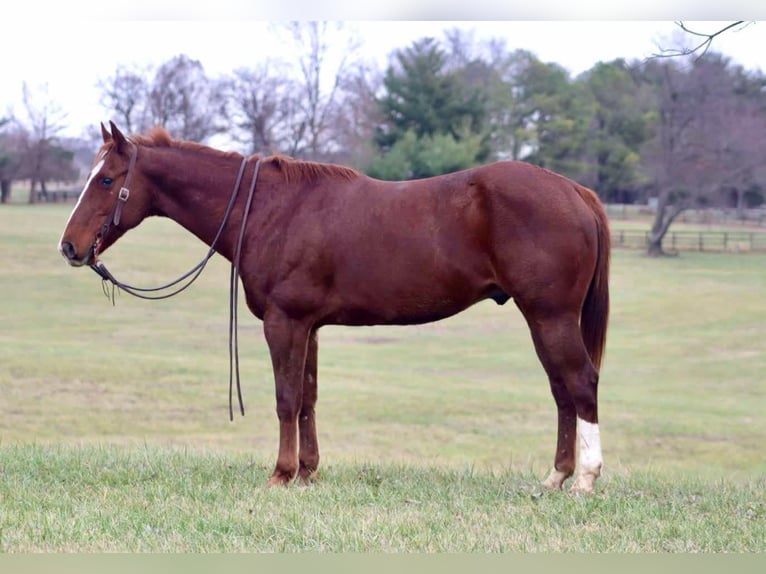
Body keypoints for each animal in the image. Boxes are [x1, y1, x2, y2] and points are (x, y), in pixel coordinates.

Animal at [58, 122, 610, 494]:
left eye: (106, 180)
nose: (69, 247)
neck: (270, 210)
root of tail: (573, 190)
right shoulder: (309, 327)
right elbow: (308, 399)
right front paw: (306, 472)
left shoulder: (284, 323)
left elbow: (286, 399)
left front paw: (280, 474)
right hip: (543, 320)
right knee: (562, 391)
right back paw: (555, 478)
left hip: (550, 316)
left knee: (580, 384)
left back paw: (584, 479)